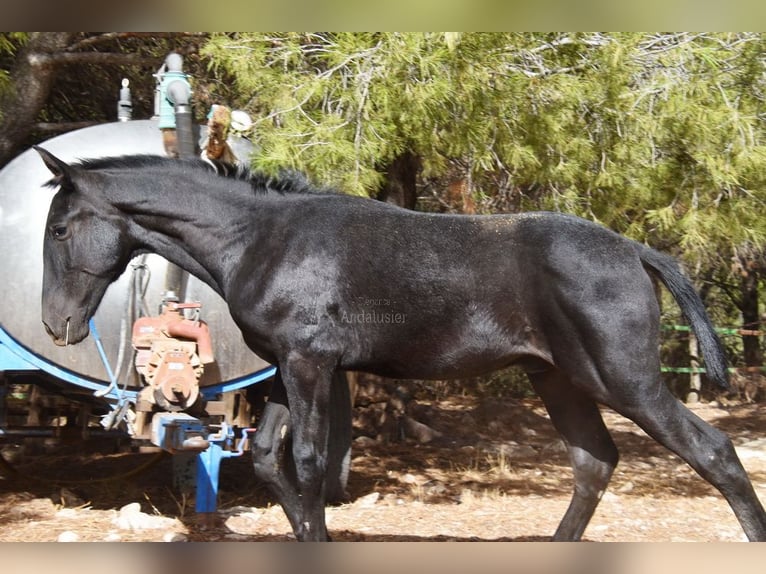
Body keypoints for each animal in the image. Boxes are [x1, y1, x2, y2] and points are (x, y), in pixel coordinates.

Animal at [35, 146, 766, 541]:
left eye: (62, 228)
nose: (56, 323)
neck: (263, 238)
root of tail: (638, 250)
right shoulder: (290, 367)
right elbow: (271, 458)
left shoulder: (310, 363)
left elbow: (308, 461)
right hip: (557, 378)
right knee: (594, 462)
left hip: (624, 378)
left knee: (714, 451)